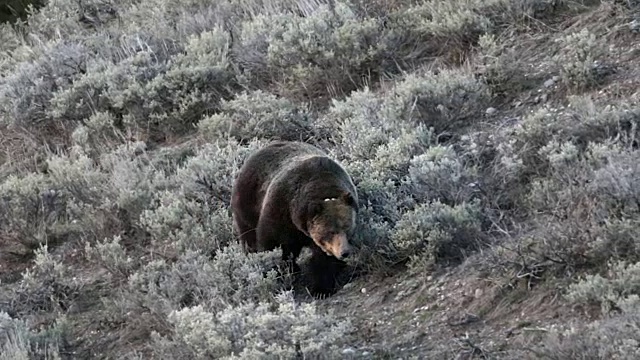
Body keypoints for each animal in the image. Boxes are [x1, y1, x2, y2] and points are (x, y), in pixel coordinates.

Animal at [231, 140, 360, 296]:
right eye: (331, 231)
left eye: (348, 228)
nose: (344, 252)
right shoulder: (280, 210)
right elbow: (271, 244)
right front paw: (277, 273)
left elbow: (323, 261)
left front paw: (321, 288)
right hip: (247, 201)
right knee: (249, 235)